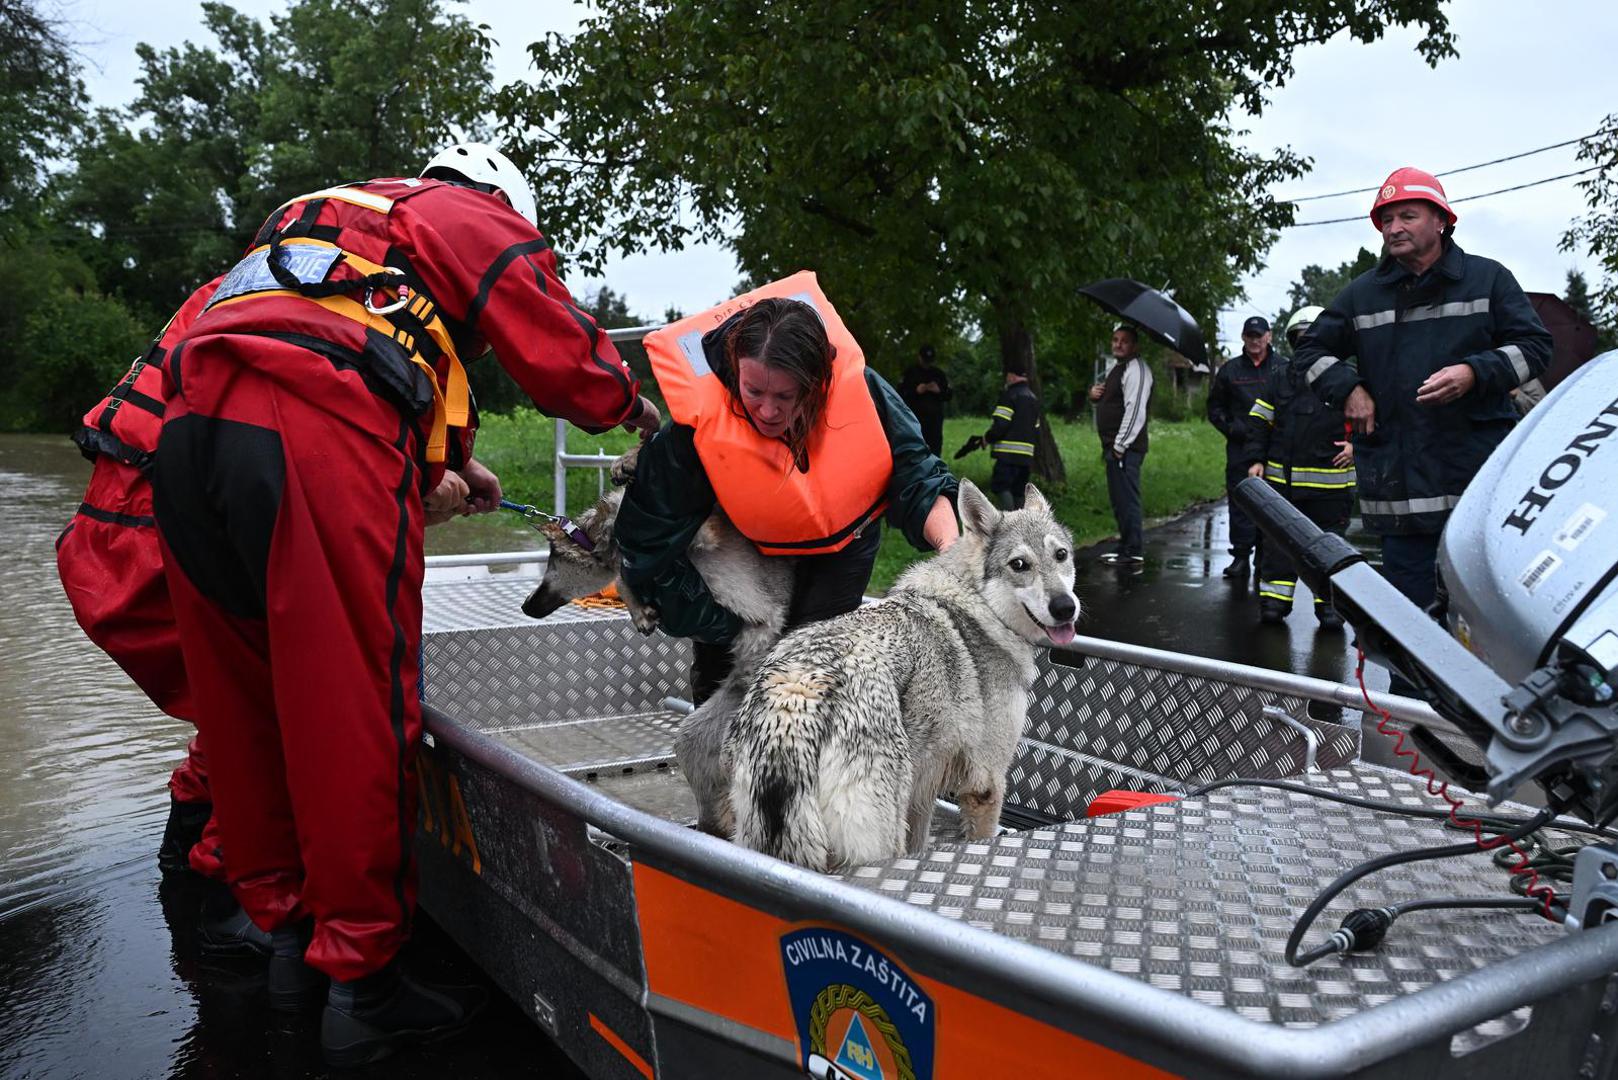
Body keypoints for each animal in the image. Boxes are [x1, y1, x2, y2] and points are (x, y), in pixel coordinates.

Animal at [520, 446, 792, 835]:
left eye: (548, 569)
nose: (525, 606)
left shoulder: (704, 532)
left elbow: (630, 566)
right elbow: (627, 572)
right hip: (697, 733)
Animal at [731, 479, 1074, 867]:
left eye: (1061, 555)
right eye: (1019, 564)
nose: (1066, 607)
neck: (980, 606)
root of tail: (795, 694)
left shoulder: (923, 792)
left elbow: (919, 845)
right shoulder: (985, 784)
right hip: (877, 842)